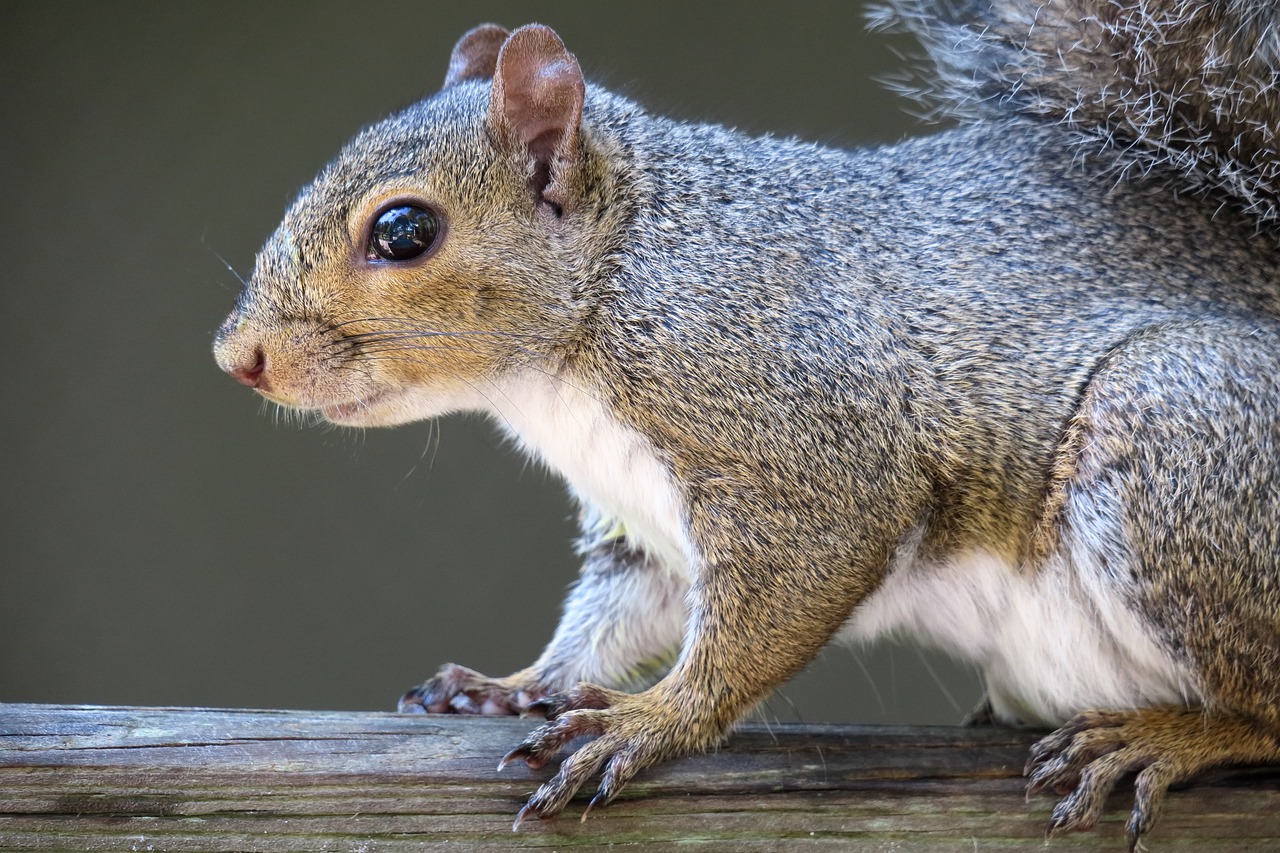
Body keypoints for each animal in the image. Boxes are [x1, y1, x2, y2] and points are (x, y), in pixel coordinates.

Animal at [212, 3, 1280, 845]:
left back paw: (1166, 736)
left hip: (1176, 429)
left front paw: (650, 722)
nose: (238, 356)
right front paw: (515, 684)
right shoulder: (643, 526)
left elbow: (766, 616)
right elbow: (611, 617)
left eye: (405, 232)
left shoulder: (803, 450)